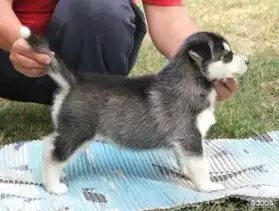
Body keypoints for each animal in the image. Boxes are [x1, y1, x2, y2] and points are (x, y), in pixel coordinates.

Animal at [19, 26, 249, 195]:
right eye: (227, 55)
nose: (248, 61)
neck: (190, 82)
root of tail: (75, 81)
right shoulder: (189, 136)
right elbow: (201, 164)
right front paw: (207, 186)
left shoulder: (183, 141)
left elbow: (186, 160)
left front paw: (187, 174)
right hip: (78, 132)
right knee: (53, 155)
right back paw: (53, 186)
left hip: (71, 131)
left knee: (49, 144)